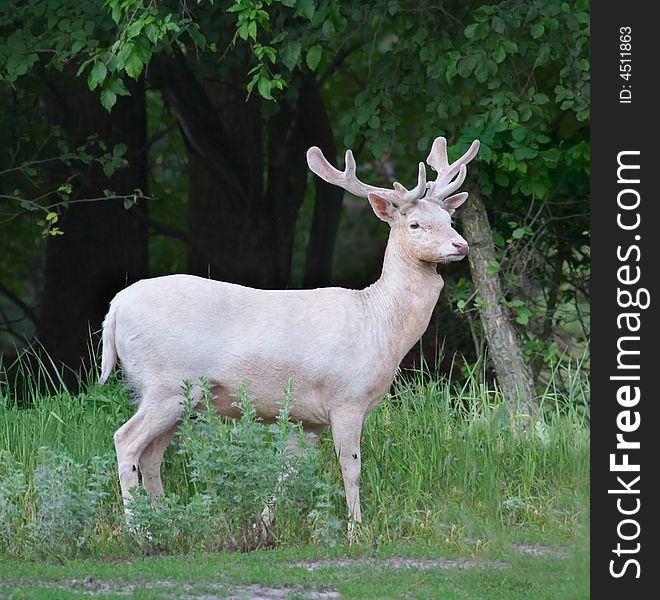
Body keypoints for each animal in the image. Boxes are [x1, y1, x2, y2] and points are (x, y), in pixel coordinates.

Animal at [99, 135, 480, 524]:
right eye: (415, 224)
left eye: (449, 218)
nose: (461, 244)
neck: (377, 324)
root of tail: (115, 310)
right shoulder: (346, 398)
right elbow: (351, 468)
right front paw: (356, 527)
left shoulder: (308, 417)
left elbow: (289, 469)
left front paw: (261, 523)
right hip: (166, 382)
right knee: (125, 439)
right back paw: (137, 527)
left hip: (175, 394)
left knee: (151, 453)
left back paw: (165, 520)